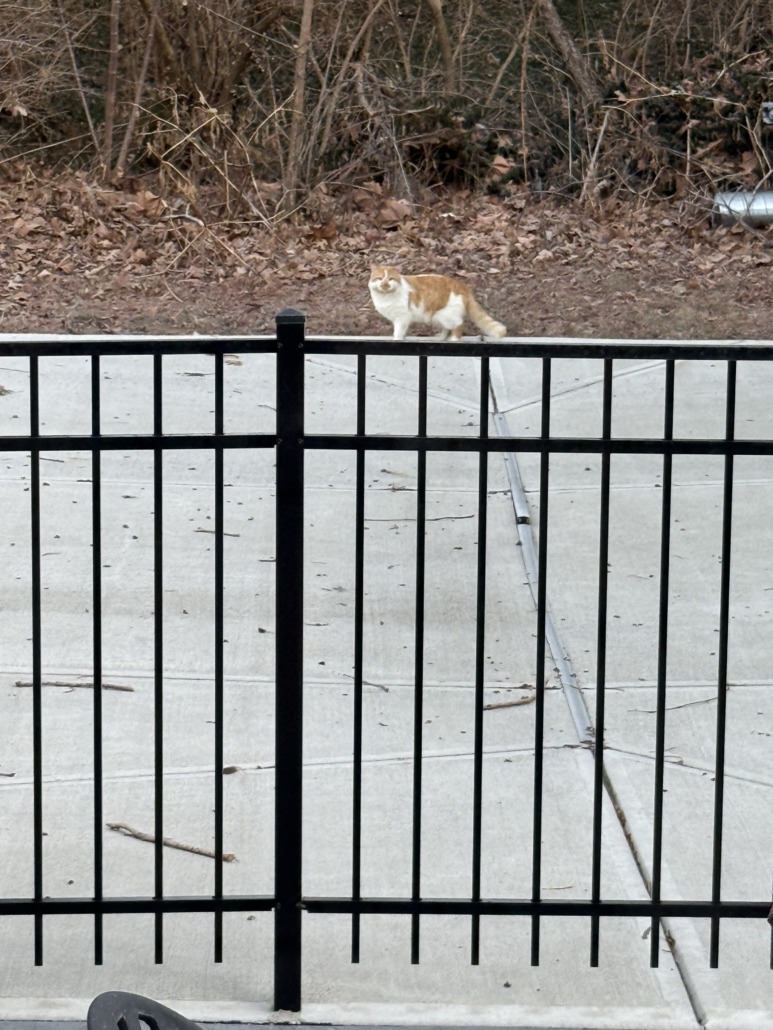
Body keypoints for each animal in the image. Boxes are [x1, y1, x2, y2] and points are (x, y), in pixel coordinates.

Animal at [368, 265, 507, 340]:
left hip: (447, 315)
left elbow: (397, 333)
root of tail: (463, 286)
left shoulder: (402, 318)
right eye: (379, 278)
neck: (386, 297)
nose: (385, 284)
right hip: (438, 317)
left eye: (390, 279)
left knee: (459, 325)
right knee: (447, 328)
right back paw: (440, 338)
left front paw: (396, 339)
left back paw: (453, 340)